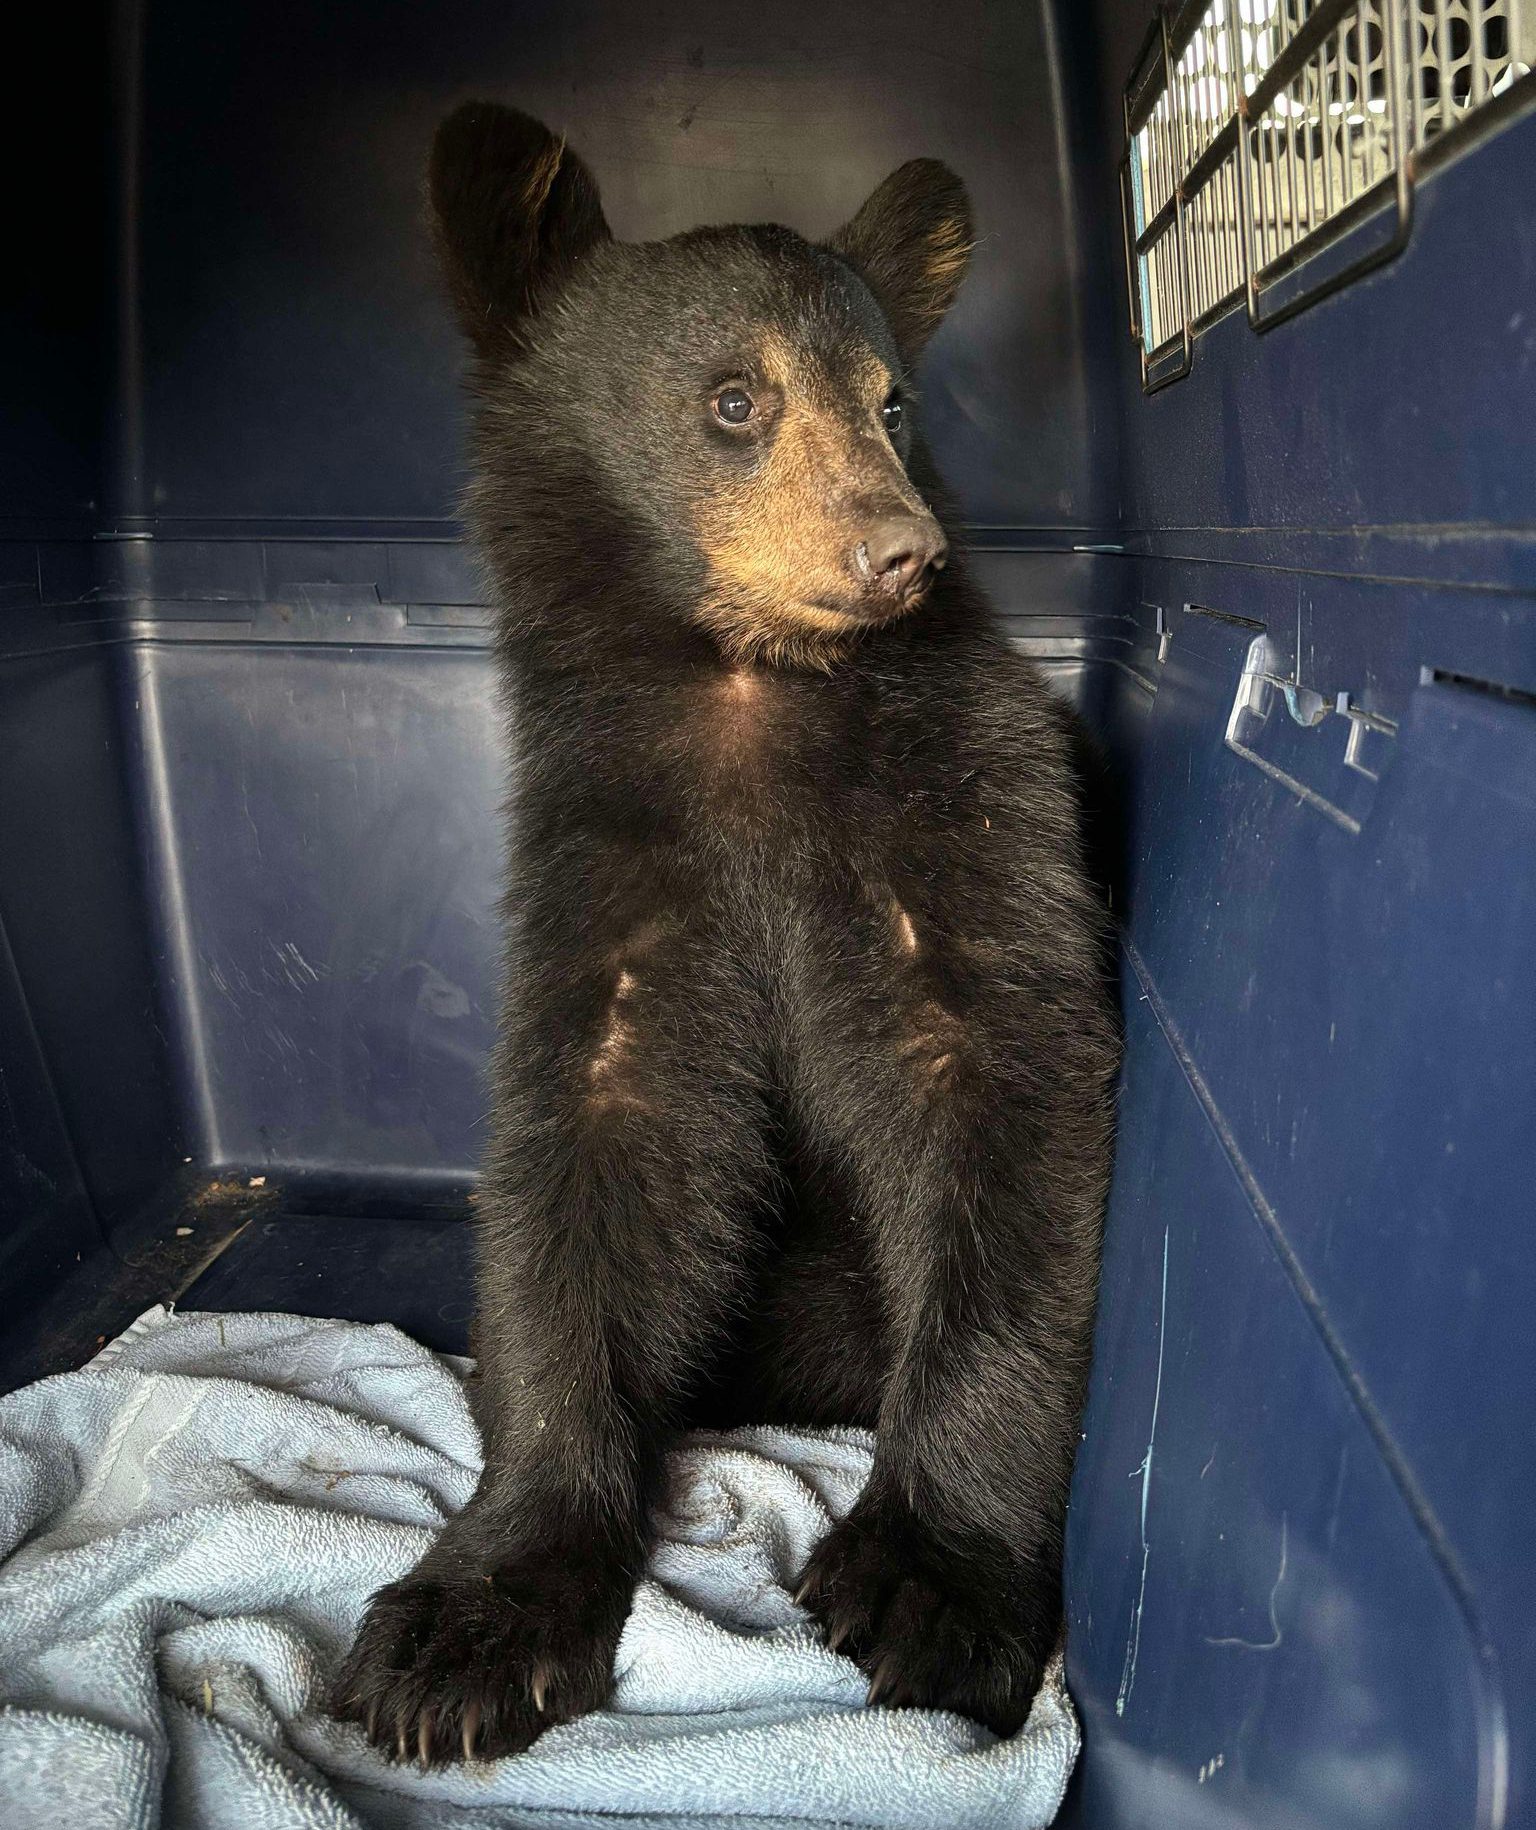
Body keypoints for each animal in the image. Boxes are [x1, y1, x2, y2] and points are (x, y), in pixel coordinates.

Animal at [332, 101, 1119, 1767]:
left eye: (892, 400)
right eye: (737, 397)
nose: (900, 548)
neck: (753, 698)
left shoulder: (971, 804)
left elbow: (1002, 1087)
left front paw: (934, 1581)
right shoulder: (610, 854)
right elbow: (598, 1145)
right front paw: (468, 1622)